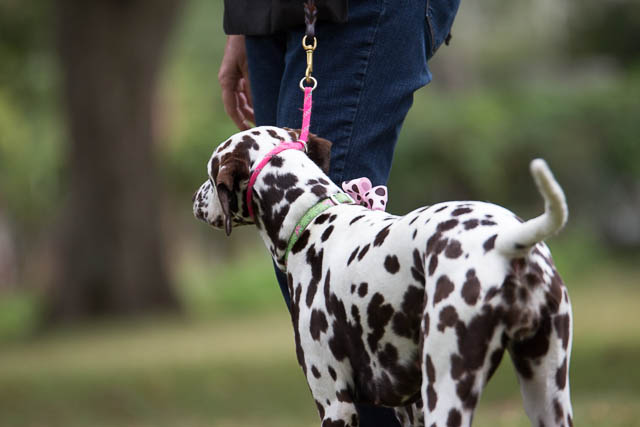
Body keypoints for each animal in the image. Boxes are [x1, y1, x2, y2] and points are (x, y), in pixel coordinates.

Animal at [192, 127, 572, 427]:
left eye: (210, 175)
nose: (196, 200)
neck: (314, 218)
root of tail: (507, 240)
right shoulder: (409, 407)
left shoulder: (336, 404)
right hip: (546, 393)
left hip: (447, 389)